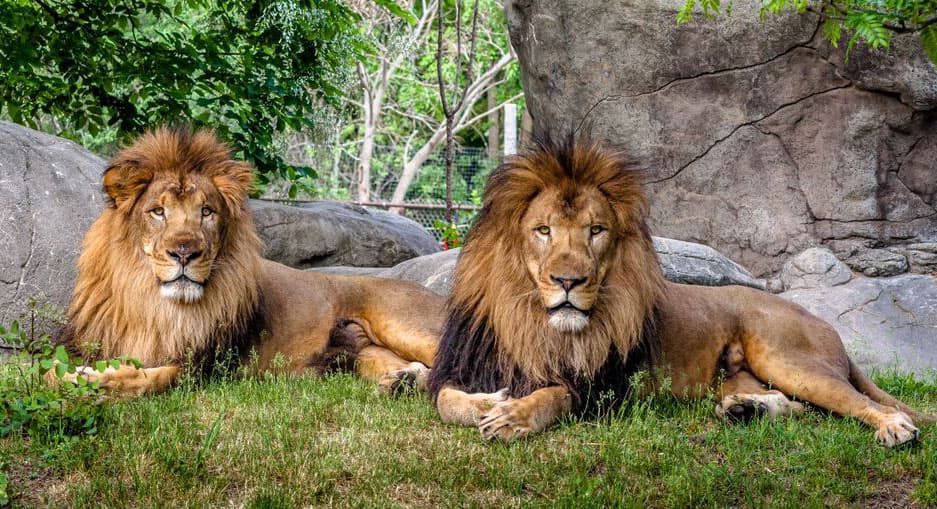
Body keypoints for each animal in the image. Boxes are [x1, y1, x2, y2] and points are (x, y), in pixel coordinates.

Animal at [58, 127, 442, 396]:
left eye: (206, 212)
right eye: (158, 211)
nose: (184, 253)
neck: (154, 303)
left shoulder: (209, 366)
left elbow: (154, 379)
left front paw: (95, 383)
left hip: (404, 325)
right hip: (366, 352)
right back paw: (403, 381)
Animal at [428, 134, 932, 444]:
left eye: (595, 231)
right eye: (543, 230)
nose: (569, 281)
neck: (534, 322)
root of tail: (826, 327)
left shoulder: (605, 391)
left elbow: (555, 394)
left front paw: (512, 416)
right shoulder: (460, 366)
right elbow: (446, 401)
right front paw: (489, 402)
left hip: (788, 358)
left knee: (857, 402)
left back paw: (896, 428)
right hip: (745, 375)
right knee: (803, 409)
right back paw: (746, 411)